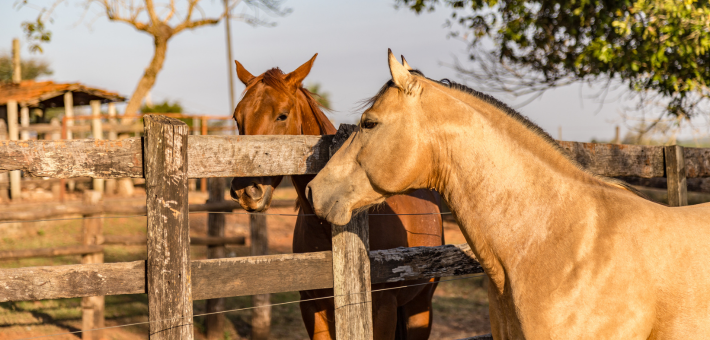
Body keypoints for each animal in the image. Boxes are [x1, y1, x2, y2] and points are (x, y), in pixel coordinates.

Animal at [229, 54, 444, 338]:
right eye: (237, 118)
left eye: (282, 115)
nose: (246, 190)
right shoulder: (313, 308)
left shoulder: (383, 310)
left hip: (420, 306)